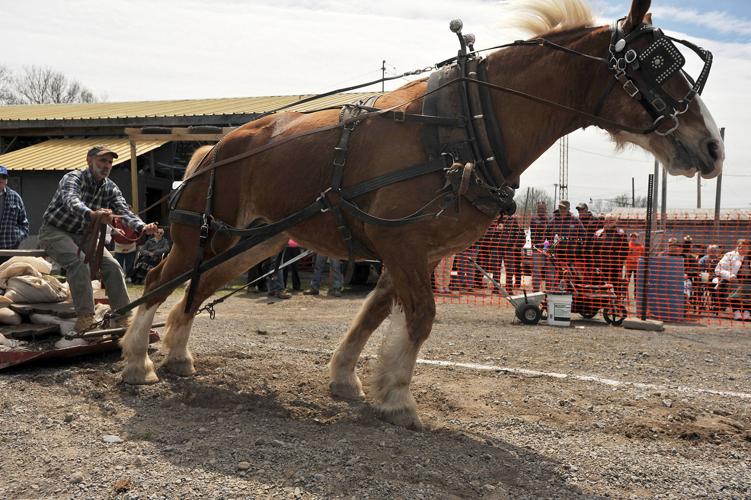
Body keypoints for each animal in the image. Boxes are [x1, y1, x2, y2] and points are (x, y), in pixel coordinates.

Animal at [120, 0, 724, 430]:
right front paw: (398, 401)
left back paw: (177, 355)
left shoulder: (415, 252)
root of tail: (214, 147)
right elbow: (420, 318)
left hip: (256, 243)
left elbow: (374, 316)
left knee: (196, 289)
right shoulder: (403, 246)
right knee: (159, 279)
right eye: (659, 67)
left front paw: (352, 382)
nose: (715, 146)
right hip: (201, 238)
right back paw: (136, 362)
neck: (467, 125)